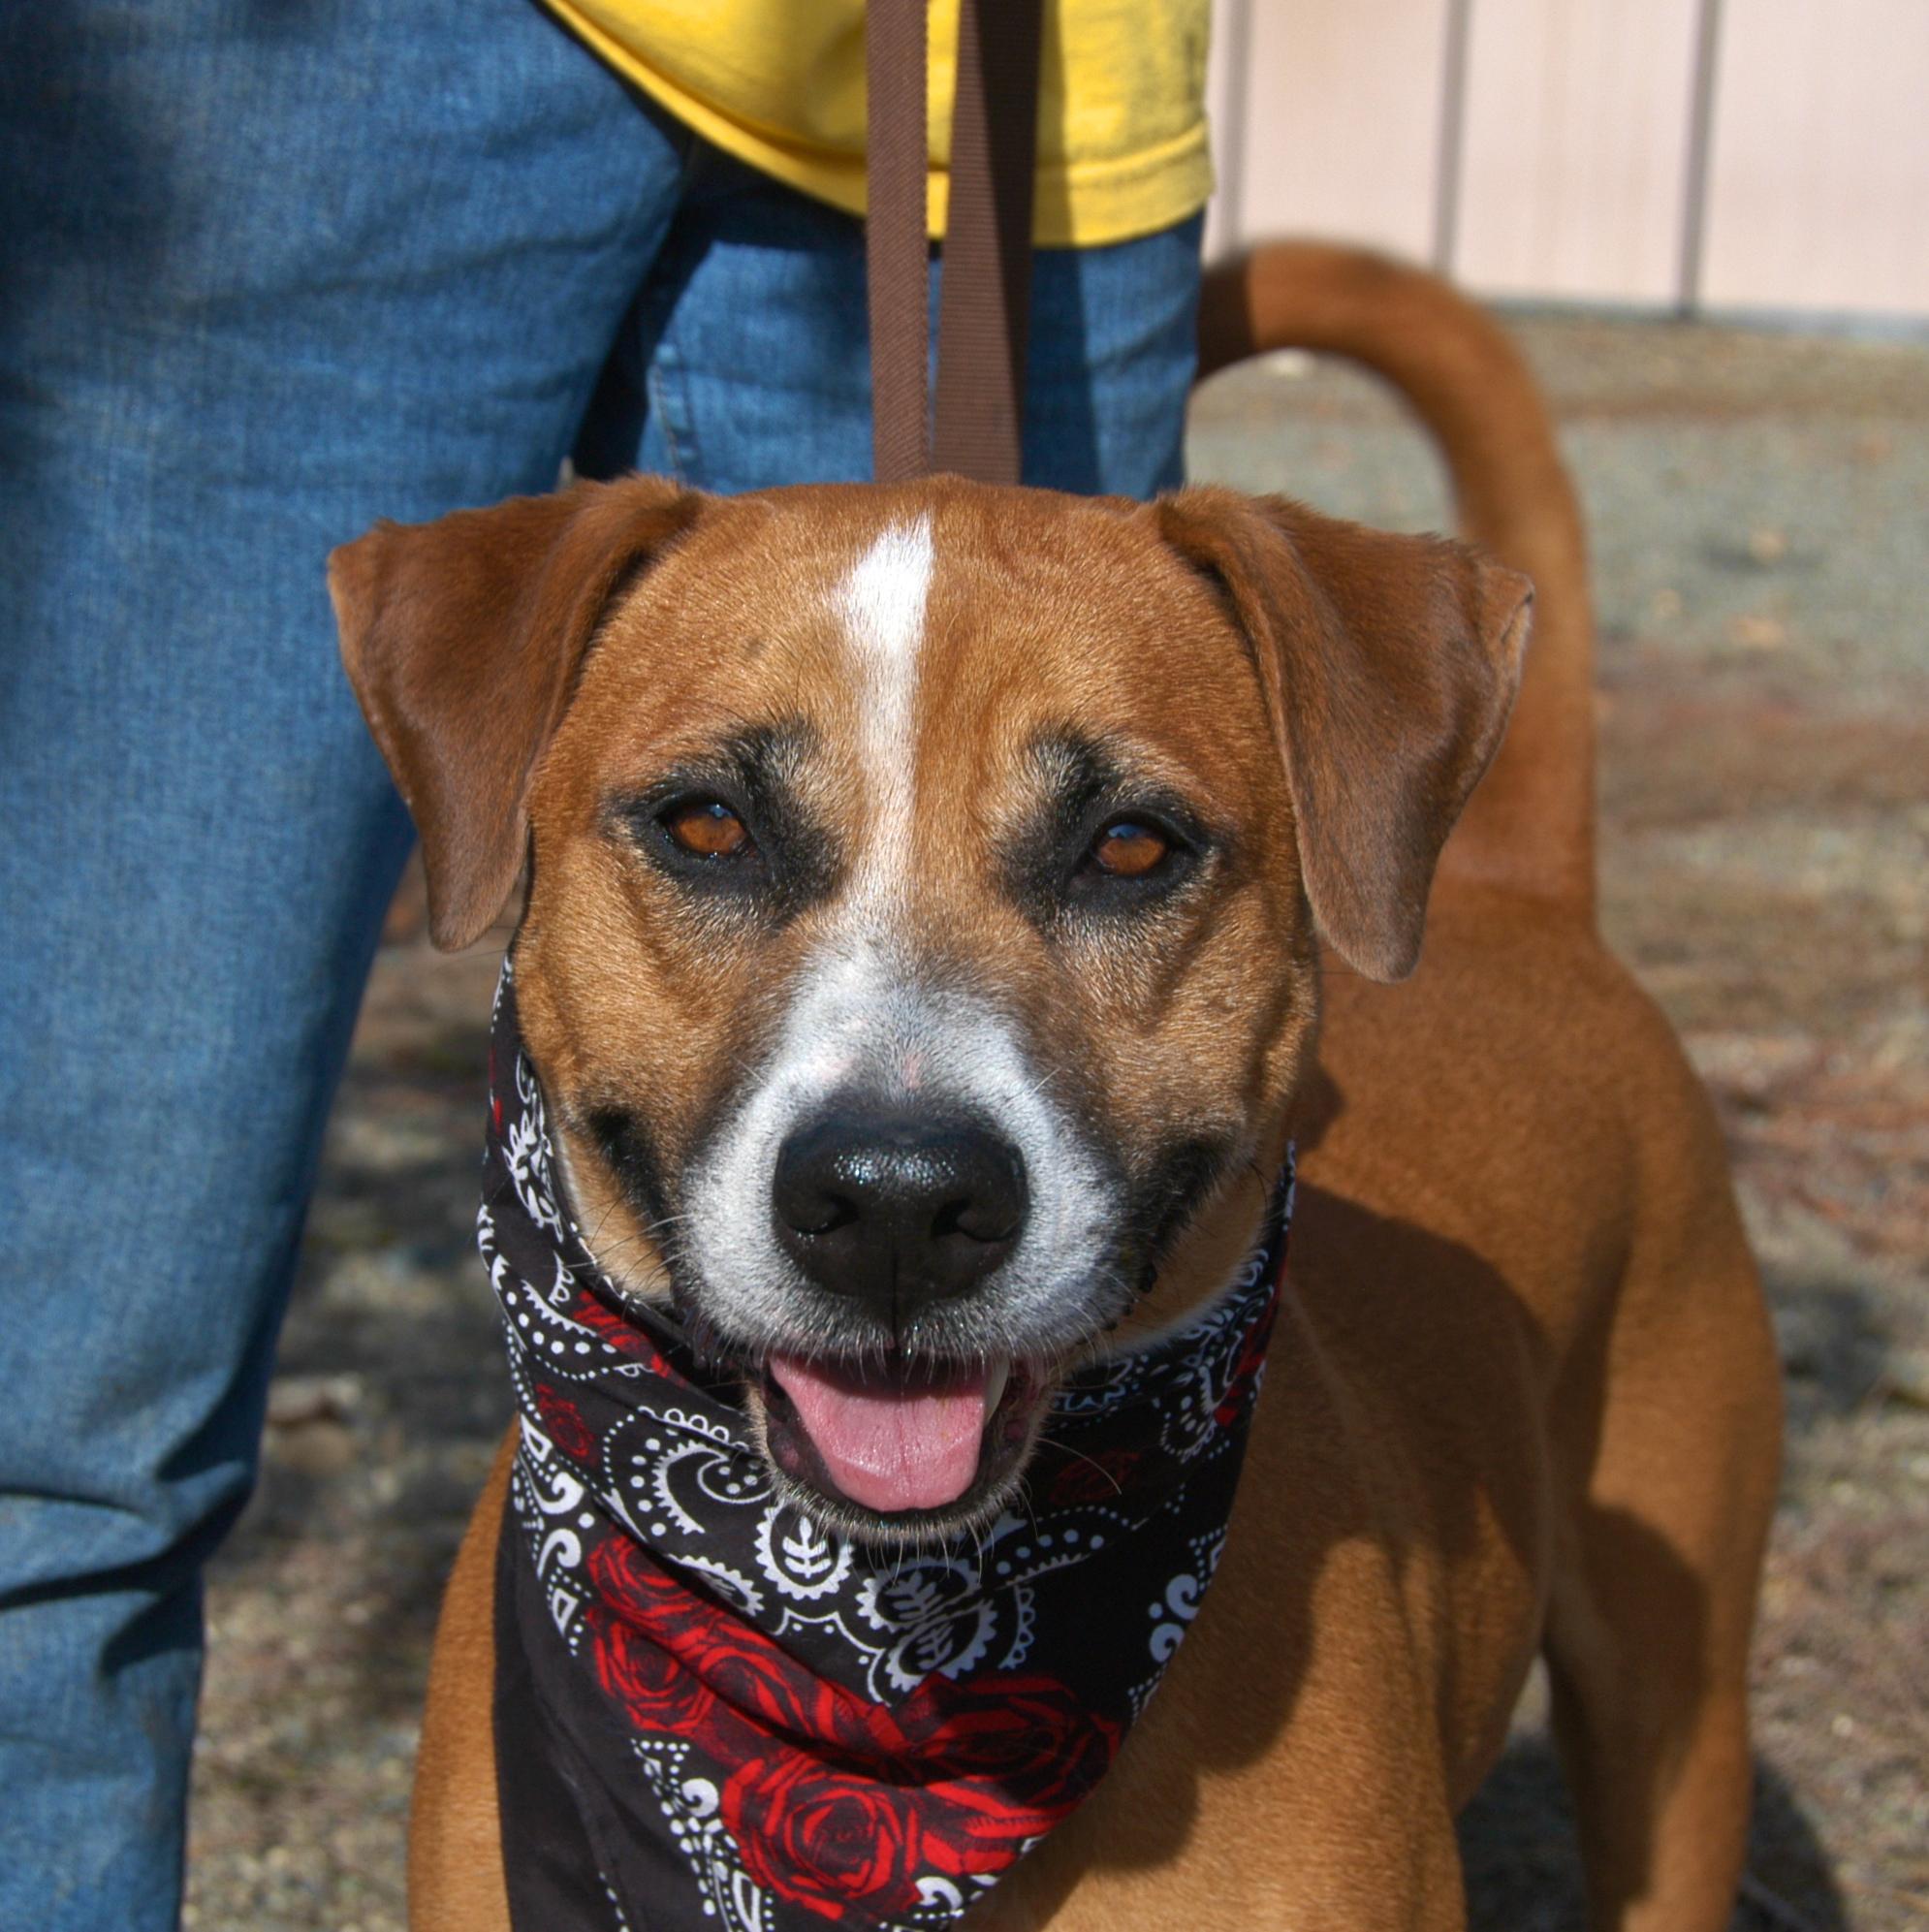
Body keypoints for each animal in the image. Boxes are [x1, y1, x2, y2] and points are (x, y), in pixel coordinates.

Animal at [328, 245, 1778, 1932]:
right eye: (706, 826)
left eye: (1131, 845)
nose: (894, 1206)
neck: (884, 1668)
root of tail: (1519, 892)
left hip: (1676, 1718)